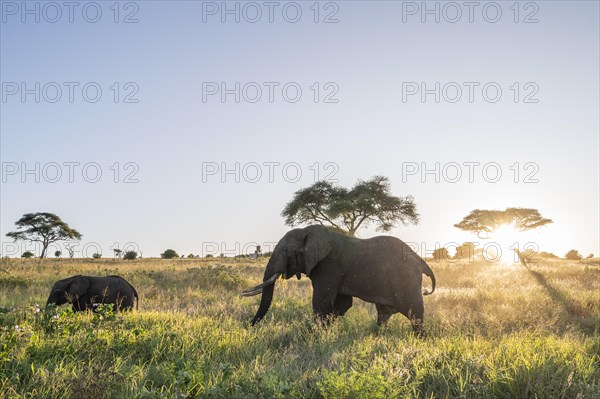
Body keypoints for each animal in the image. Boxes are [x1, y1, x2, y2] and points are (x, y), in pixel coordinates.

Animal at [243, 227, 436, 336]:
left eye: (285, 251)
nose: (246, 327)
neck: (308, 231)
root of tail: (420, 260)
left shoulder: (329, 266)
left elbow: (321, 302)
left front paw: (316, 335)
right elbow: (342, 304)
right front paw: (326, 331)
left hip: (406, 280)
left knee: (414, 314)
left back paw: (421, 339)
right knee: (384, 313)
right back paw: (378, 334)